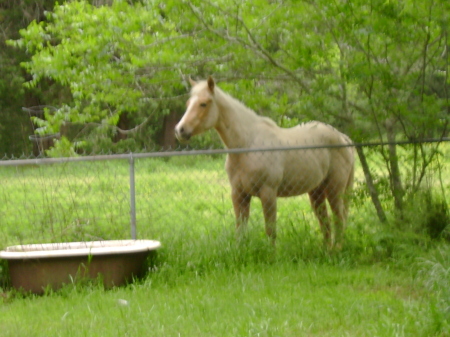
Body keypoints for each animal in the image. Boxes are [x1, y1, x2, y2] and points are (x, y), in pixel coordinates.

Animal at [176, 77, 356, 248]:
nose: (180, 130)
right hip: (317, 192)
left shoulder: (268, 193)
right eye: (188, 103)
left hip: (334, 190)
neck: (248, 145)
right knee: (325, 222)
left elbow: (270, 230)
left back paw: (337, 249)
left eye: (203, 104)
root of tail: (343, 138)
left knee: (339, 219)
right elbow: (240, 230)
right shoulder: (239, 194)